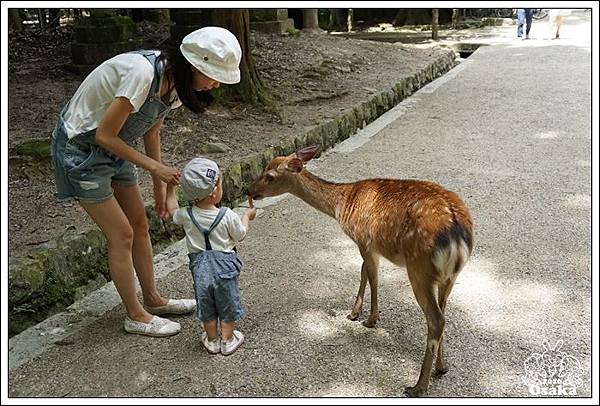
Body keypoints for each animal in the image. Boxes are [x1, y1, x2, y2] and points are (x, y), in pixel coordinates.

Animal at [248, 146, 474, 396]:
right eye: (263, 168)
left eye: (270, 176)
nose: (249, 191)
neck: (342, 204)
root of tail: (457, 236)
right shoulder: (367, 245)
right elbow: (364, 272)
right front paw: (354, 313)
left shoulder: (364, 239)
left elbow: (371, 276)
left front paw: (369, 319)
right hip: (449, 277)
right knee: (443, 313)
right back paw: (442, 367)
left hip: (419, 268)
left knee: (436, 319)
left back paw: (417, 386)